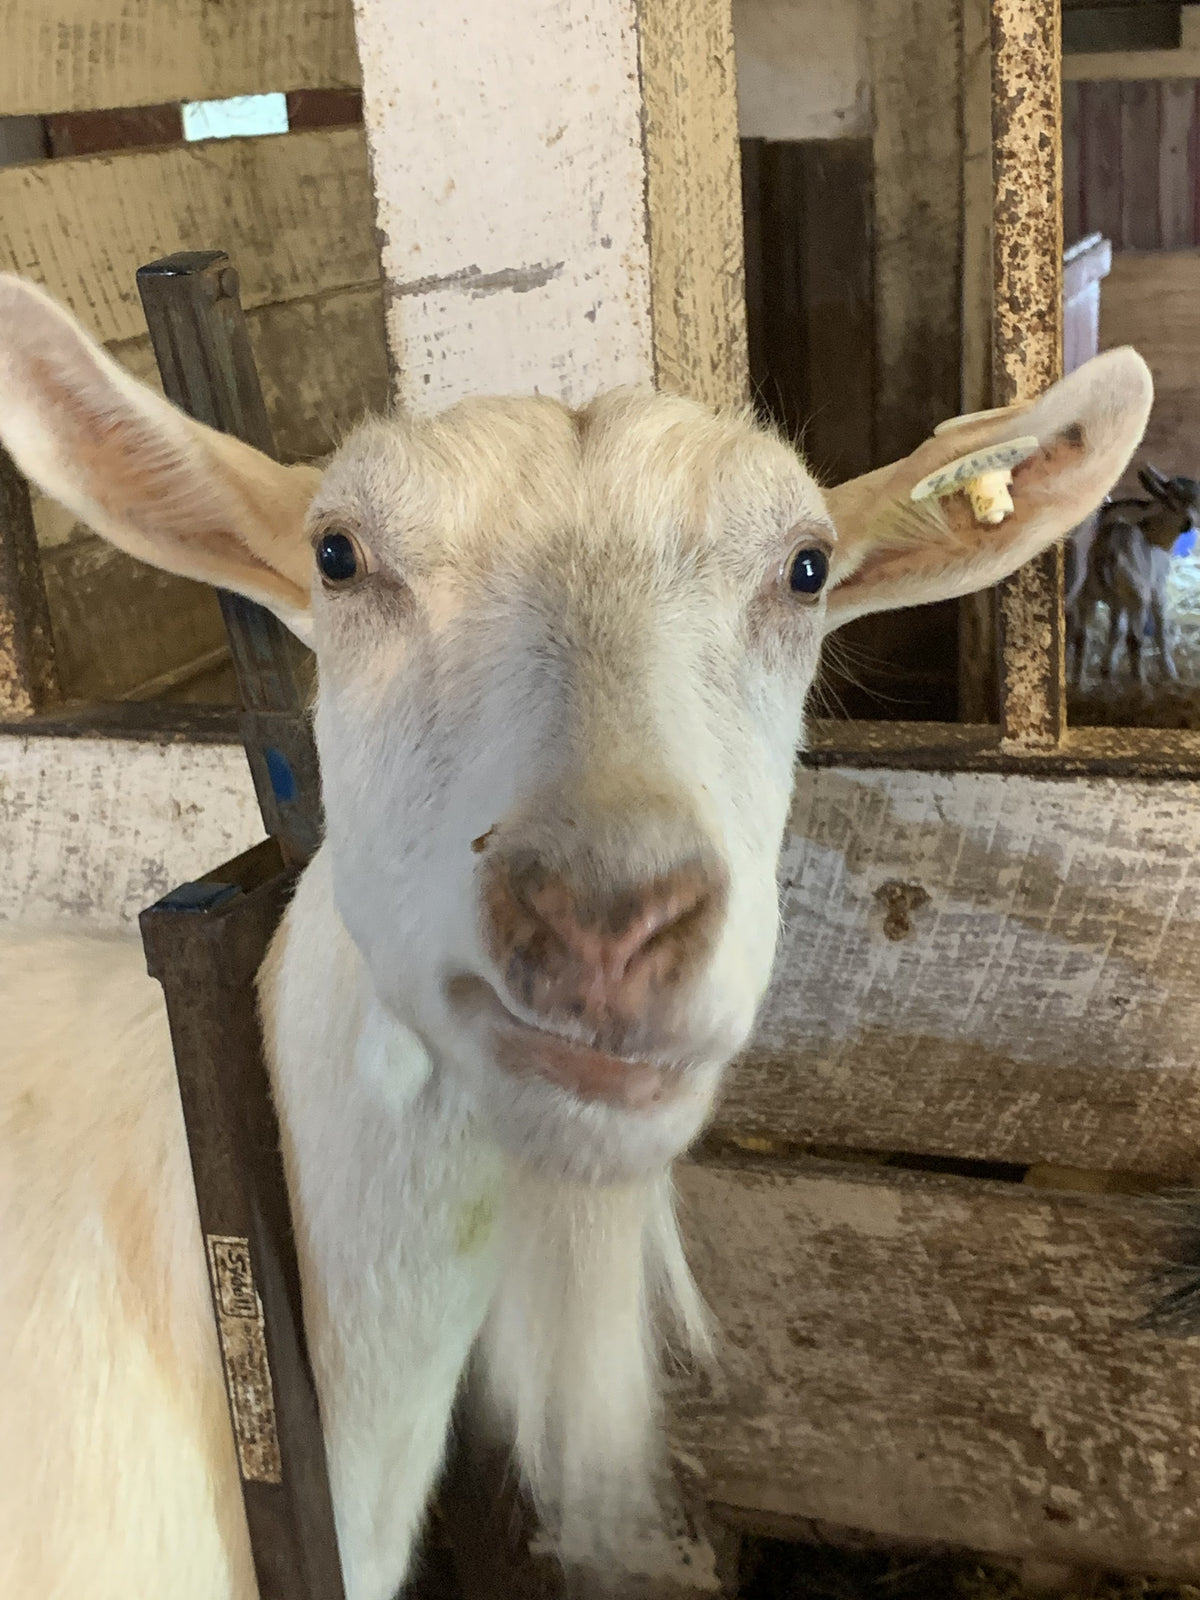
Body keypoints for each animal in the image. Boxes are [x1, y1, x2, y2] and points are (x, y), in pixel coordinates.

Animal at [1066, 465, 1200, 684]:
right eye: (1172, 502)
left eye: (1196, 502)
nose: (1188, 523)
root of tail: (1110, 544)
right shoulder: (1157, 585)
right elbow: (1160, 628)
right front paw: (1169, 672)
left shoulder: (1116, 600)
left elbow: (1115, 630)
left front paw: (1107, 668)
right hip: (1138, 592)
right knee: (1134, 638)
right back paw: (1140, 683)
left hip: (1086, 591)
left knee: (1082, 636)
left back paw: (1079, 682)